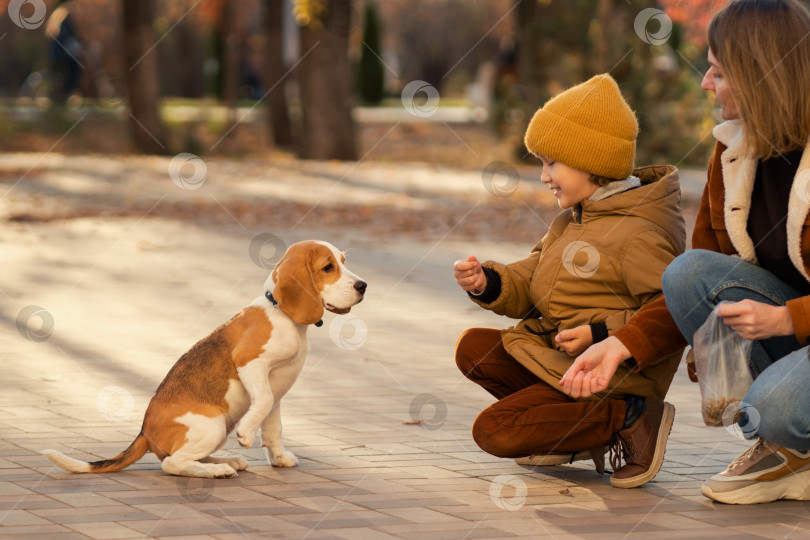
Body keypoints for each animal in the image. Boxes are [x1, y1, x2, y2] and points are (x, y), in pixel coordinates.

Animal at [44, 243, 366, 478]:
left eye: (343, 260)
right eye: (328, 267)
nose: (363, 285)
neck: (282, 313)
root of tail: (145, 433)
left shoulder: (278, 388)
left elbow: (273, 426)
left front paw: (279, 457)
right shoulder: (250, 363)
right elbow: (261, 402)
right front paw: (246, 435)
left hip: (218, 429)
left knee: (185, 457)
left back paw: (227, 461)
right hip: (213, 425)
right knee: (172, 463)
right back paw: (218, 470)